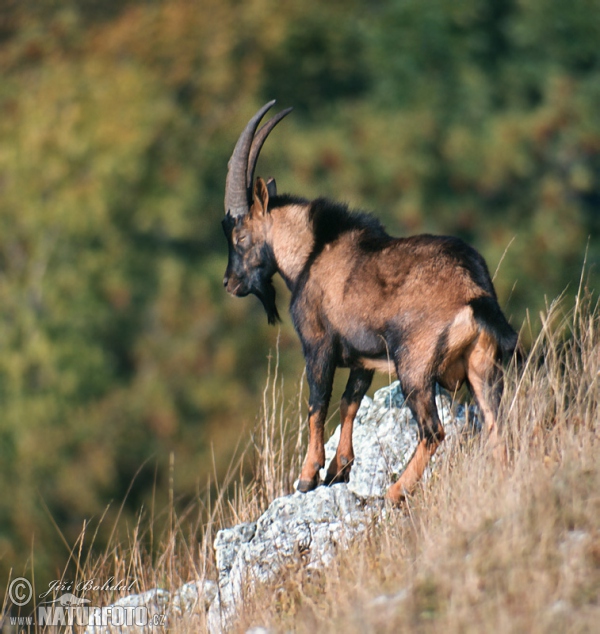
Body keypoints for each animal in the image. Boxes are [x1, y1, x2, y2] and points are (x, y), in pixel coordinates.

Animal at [223, 101, 516, 502]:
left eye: (239, 237)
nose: (229, 282)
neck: (312, 253)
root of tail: (475, 293)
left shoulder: (318, 343)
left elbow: (317, 404)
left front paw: (308, 476)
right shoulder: (362, 356)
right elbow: (351, 402)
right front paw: (338, 469)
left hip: (414, 367)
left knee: (433, 431)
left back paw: (395, 492)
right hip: (483, 367)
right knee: (495, 426)